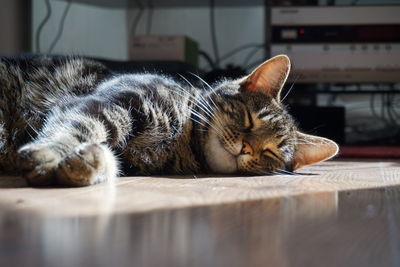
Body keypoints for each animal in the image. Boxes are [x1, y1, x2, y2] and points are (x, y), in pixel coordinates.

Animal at [0, 54, 340, 188]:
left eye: (270, 152)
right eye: (249, 120)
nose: (246, 148)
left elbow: (109, 156)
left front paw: (89, 163)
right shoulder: (109, 103)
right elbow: (77, 127)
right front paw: (50, 154)